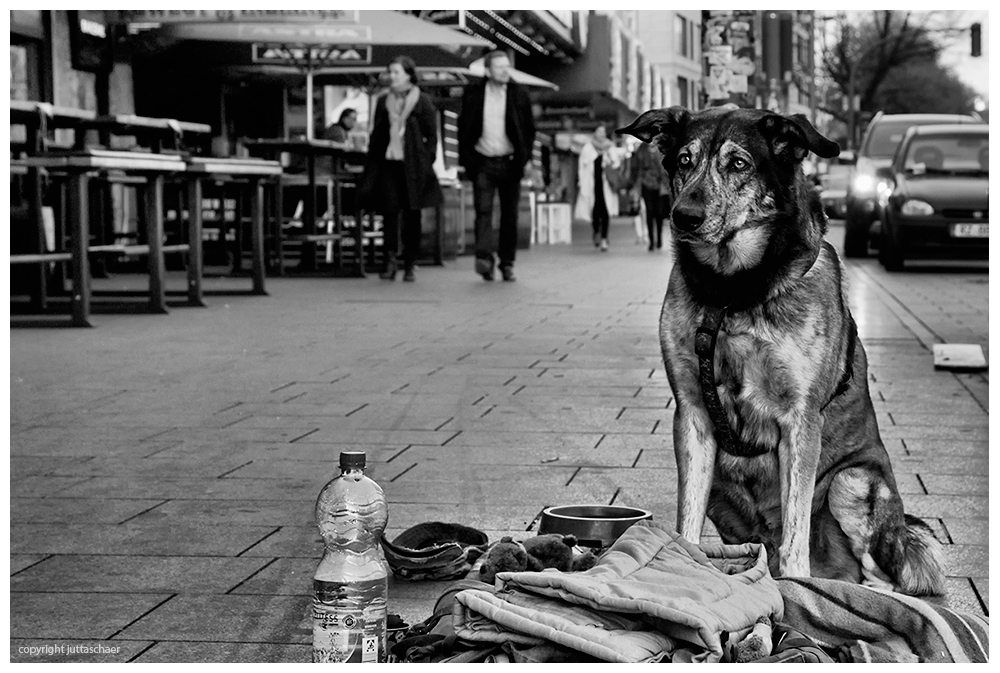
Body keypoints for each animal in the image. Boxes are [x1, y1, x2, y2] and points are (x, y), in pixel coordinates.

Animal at [616, 107, 944, 596]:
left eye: (739, 164)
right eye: (683, 161)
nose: (684, 216)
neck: (733, 291)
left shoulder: (800, 420)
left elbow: (794, 539)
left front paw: (799, 597)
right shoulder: (692, 416)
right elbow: (686, 524)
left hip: (854, 482)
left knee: (877, 575)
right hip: (723, 488)